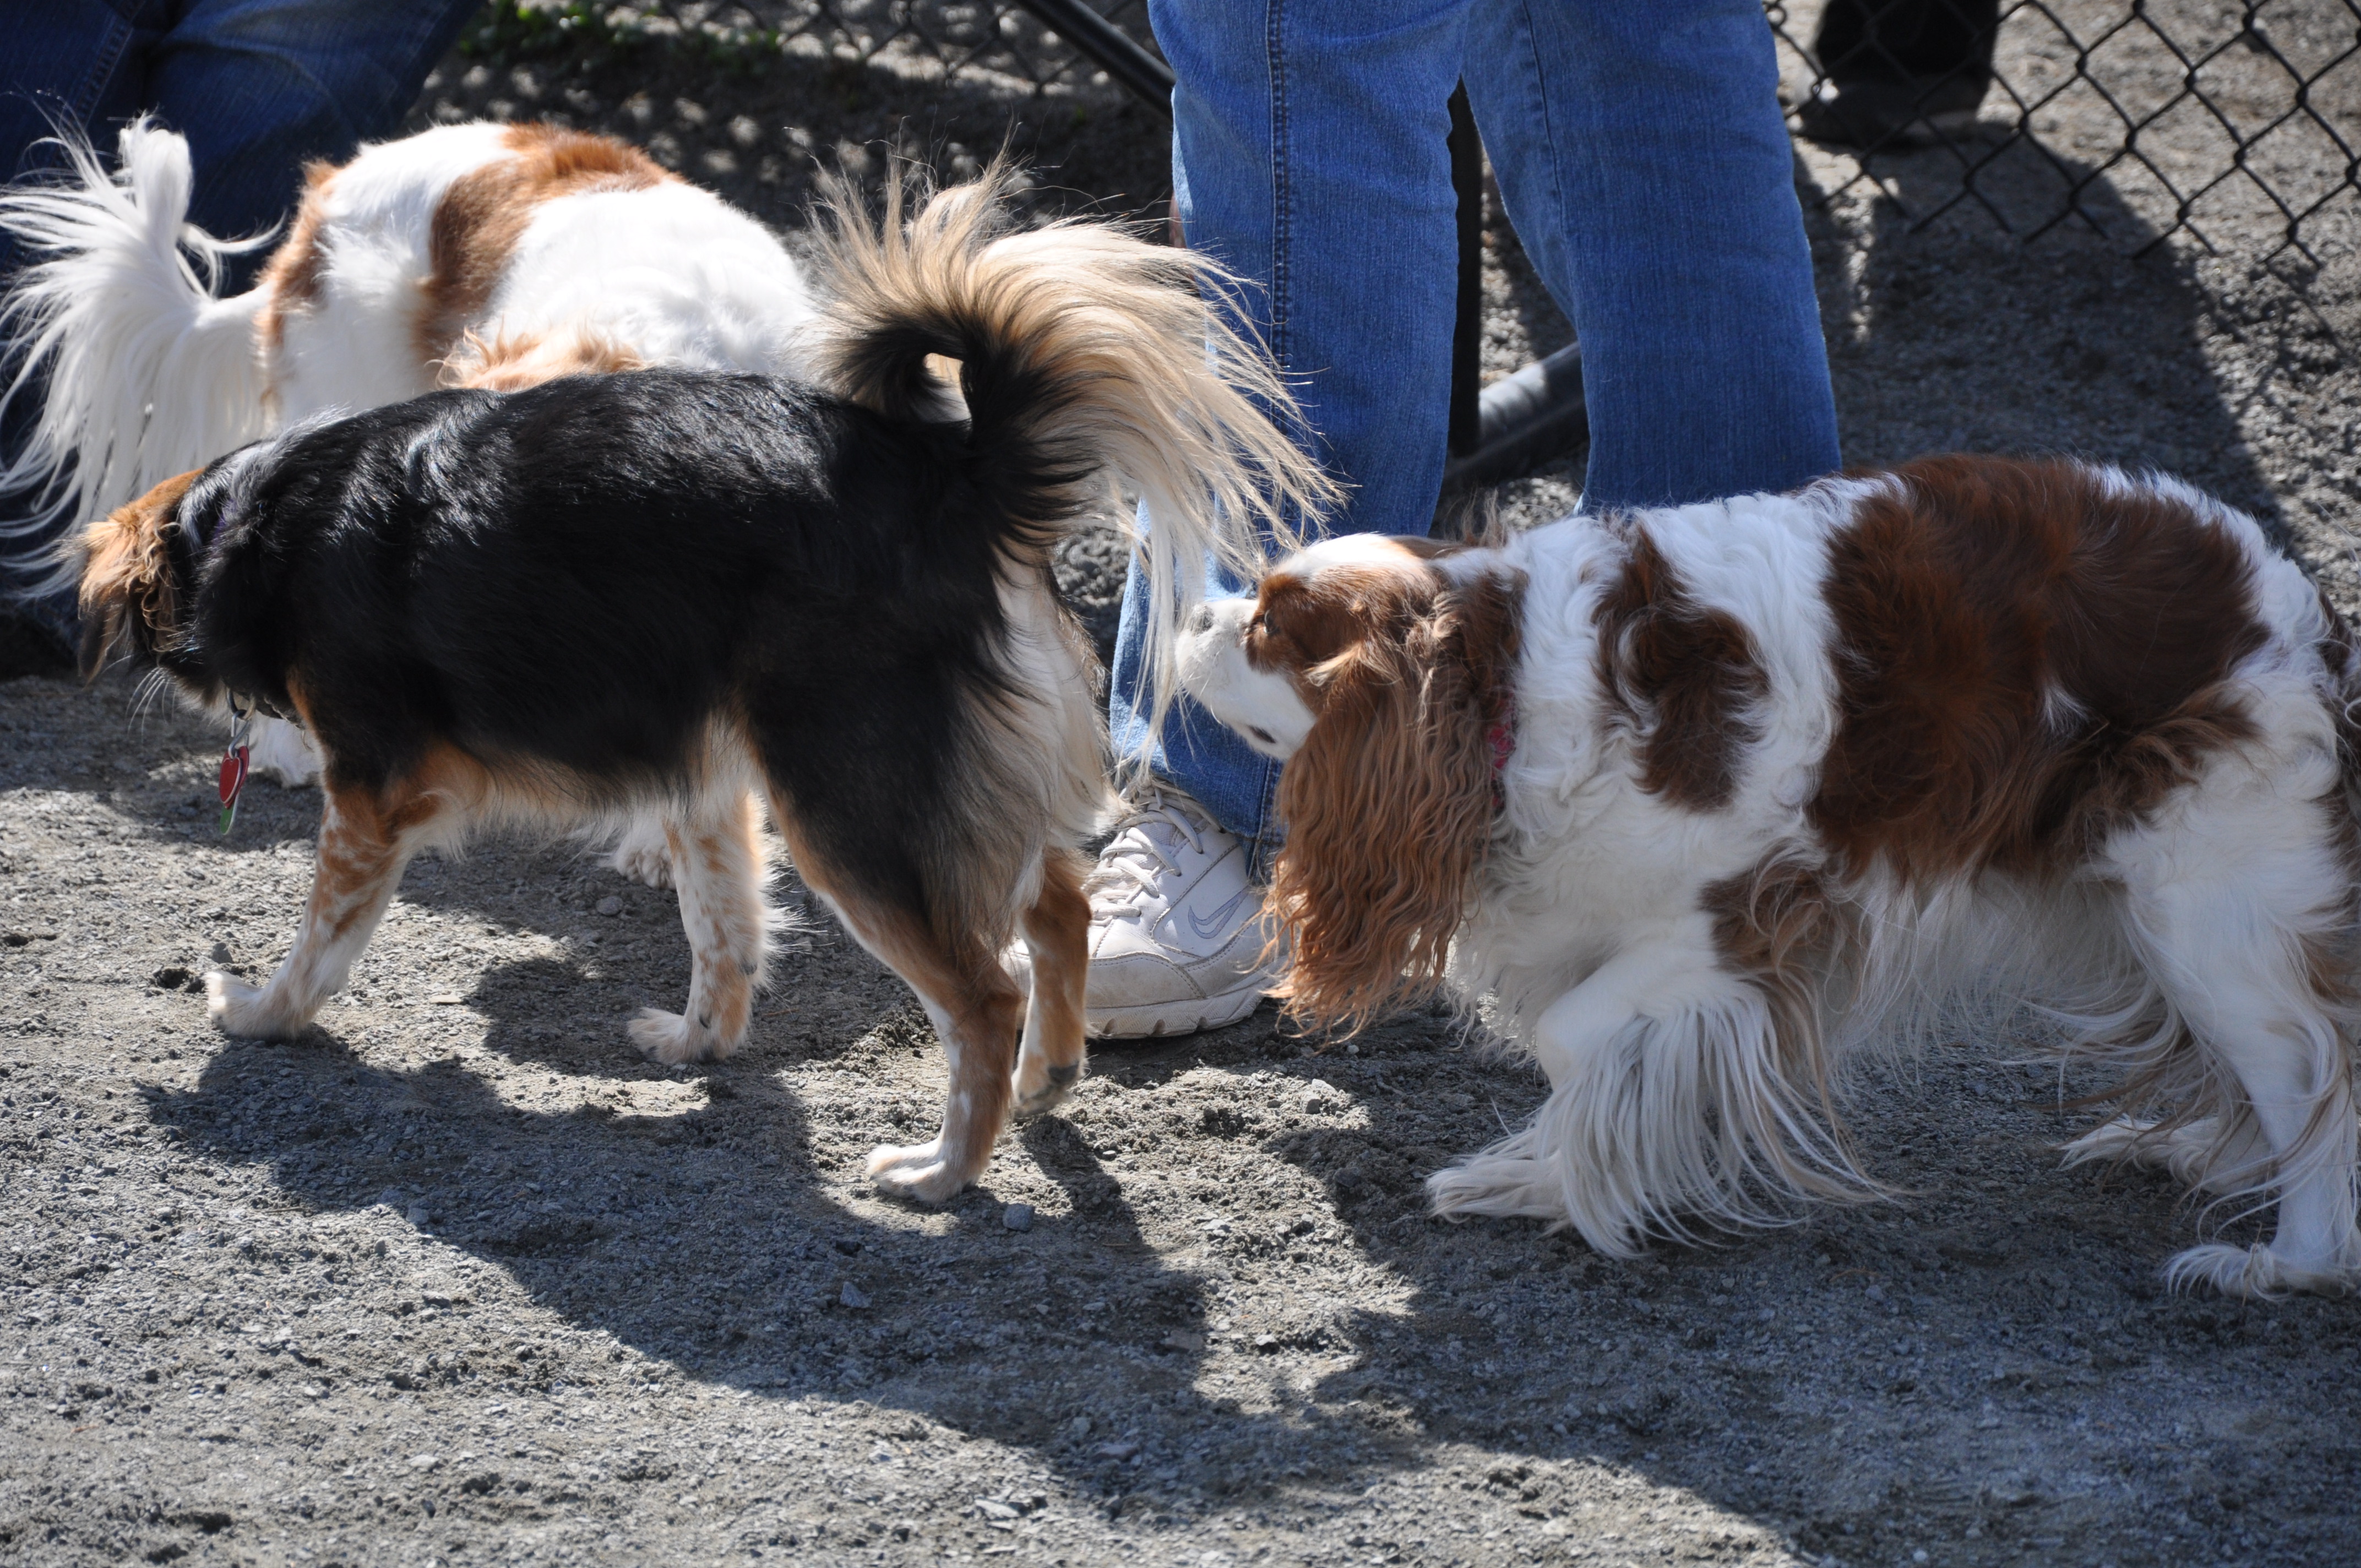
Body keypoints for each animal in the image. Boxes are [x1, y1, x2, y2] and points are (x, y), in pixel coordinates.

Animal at [73, 170, 1332, 1201]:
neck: (268, 519)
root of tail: (950, 477)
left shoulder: (372, 800)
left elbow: (317, 941)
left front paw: (257, 1013)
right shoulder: (707, 783)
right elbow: (722, 927)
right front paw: (698, 1047)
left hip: (853, 811)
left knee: (984, 996)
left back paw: (940, 1173)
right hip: (920, 787)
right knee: (1058, 907)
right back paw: (1048, 1080)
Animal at [1178, 456, 2361, 1296]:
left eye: (1266, 626)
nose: (1191, 609)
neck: (1504, 679)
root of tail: (2303, 609)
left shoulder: (1734, 921)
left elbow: (1570, 1038)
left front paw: (1577, 1183)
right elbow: (1581, 1061)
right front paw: (1541, 1177)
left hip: (2208, 904)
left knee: (2308, 1069)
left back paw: (2288, 1259)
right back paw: (2199, 1157)